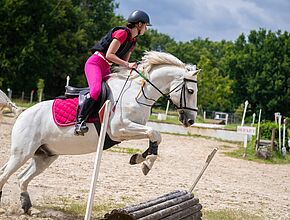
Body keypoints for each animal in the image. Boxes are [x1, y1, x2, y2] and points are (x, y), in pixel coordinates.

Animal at [0, 50, 199, 212]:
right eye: (190, 91)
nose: (190, 120)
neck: (137, 93)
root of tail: (23, 113)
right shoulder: (119, 128)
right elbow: (154, 132)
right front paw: (146, 162)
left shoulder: (129, 130)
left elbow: (155, 135)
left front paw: (140, 158)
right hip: (22, 153)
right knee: (5, 175)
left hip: (45, 156)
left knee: (22, 178)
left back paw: (26, 206)